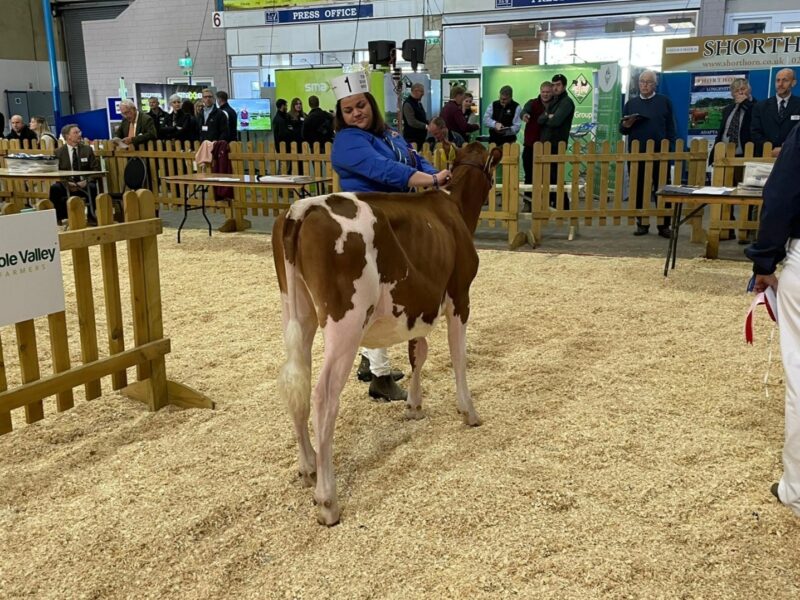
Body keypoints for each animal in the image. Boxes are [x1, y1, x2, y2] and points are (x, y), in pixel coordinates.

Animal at [272, 142, 503, 525]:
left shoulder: (418, 306)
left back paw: (307, 467)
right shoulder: (460, 296)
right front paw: (468, 411)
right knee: (323, 395)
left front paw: (414, 406)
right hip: (345, 322)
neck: (453, 208)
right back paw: (327, 500)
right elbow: (458, 357)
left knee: (296, 383)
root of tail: (302, 208)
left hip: (297, 311)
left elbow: (417, 353)